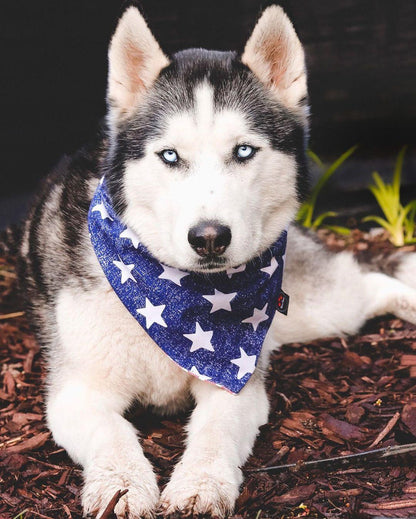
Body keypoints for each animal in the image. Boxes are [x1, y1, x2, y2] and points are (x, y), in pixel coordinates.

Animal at [18, 5, 416, 519]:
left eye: (243, 150)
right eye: (170, 155)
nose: (209, 238)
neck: (177, 297)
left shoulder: (237, 384)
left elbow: (215, 431)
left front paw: (200, 483)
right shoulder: (77, 391)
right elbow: (112, 433)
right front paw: (122, 485)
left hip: (316, 310)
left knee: (370, 281)